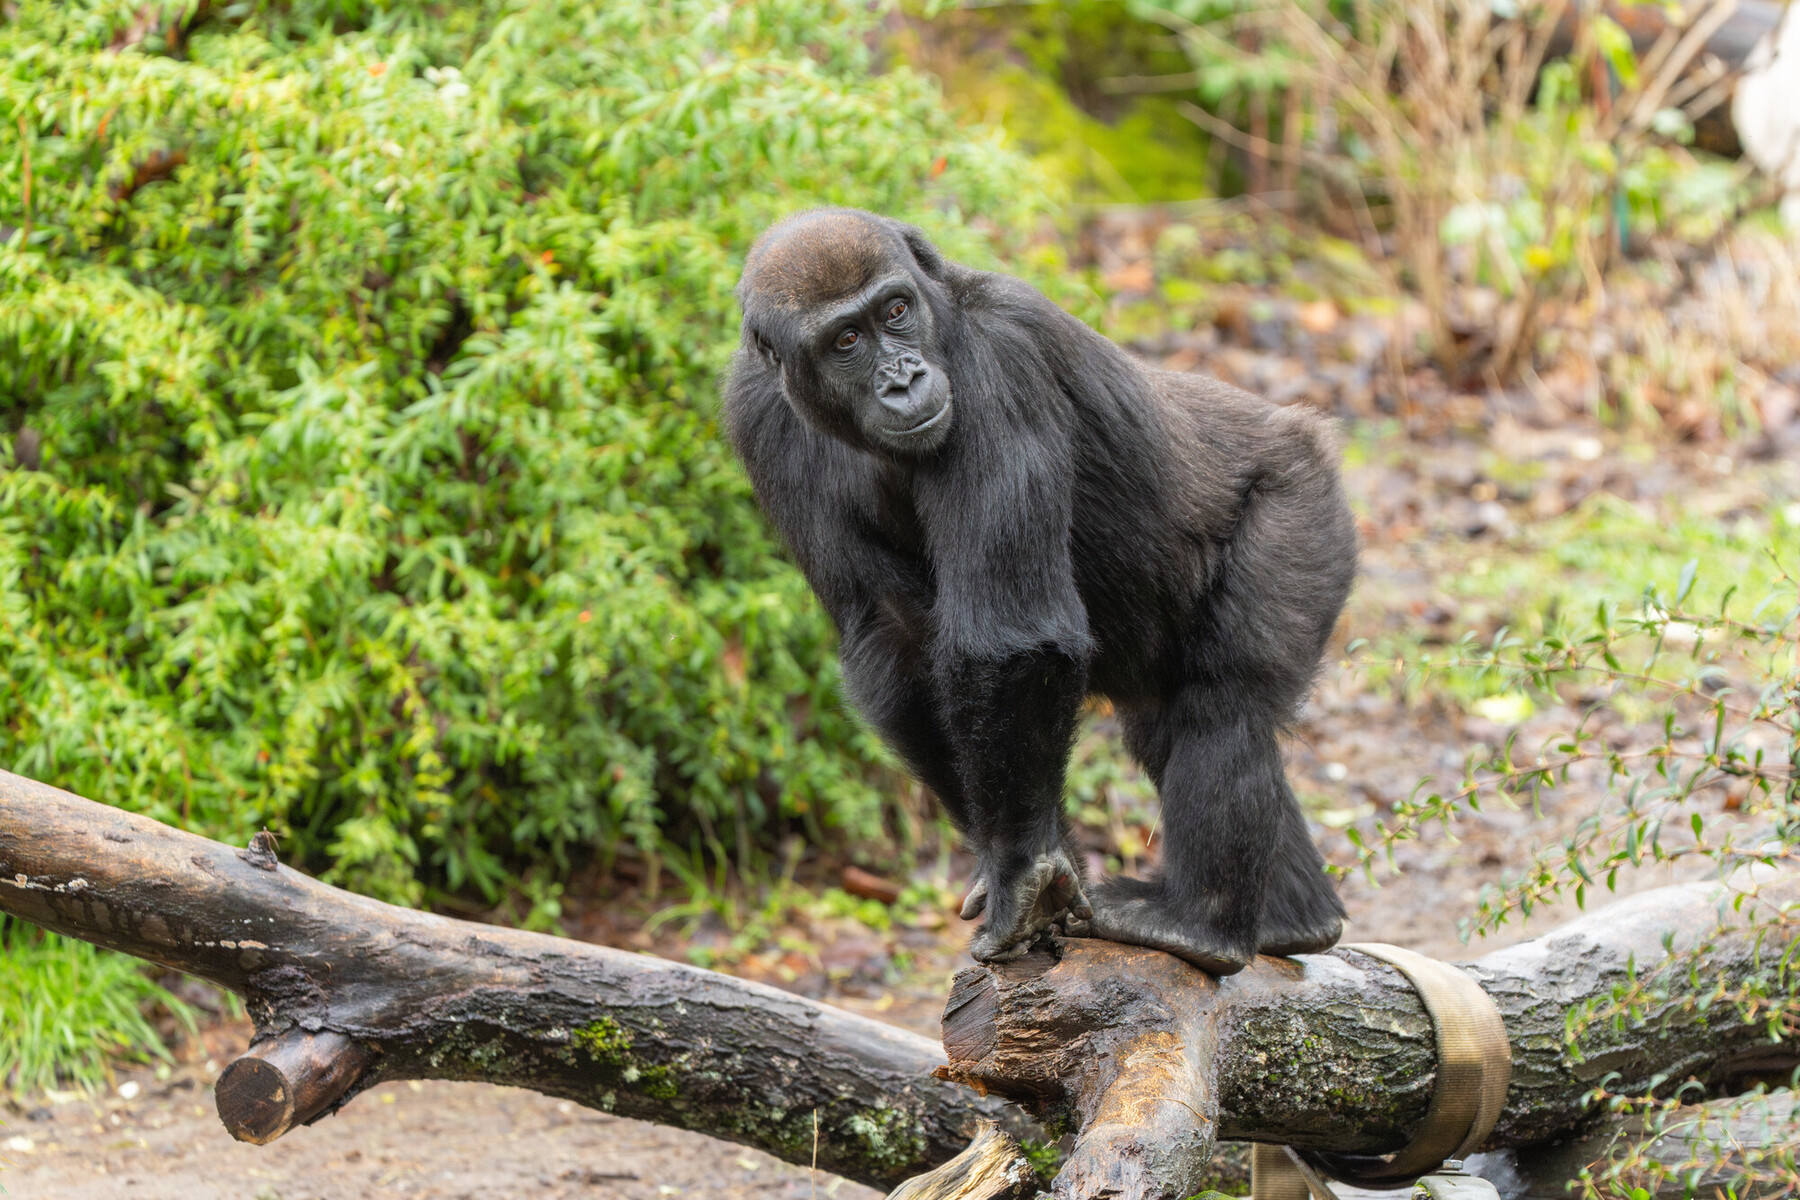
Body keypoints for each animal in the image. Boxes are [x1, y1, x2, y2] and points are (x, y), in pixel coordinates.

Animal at [723, 209, 1356, 975]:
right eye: (845, 340)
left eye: (895, 312)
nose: (902, 379)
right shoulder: (756, 412)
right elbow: (897, 647)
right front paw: (1037, 865)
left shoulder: (999, 355)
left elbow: (1013, 642)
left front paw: (1023, 868)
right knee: (1167, 723)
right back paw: (1294, 918)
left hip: (1302, 504)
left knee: (1224, 703)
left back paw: (1201, 925)